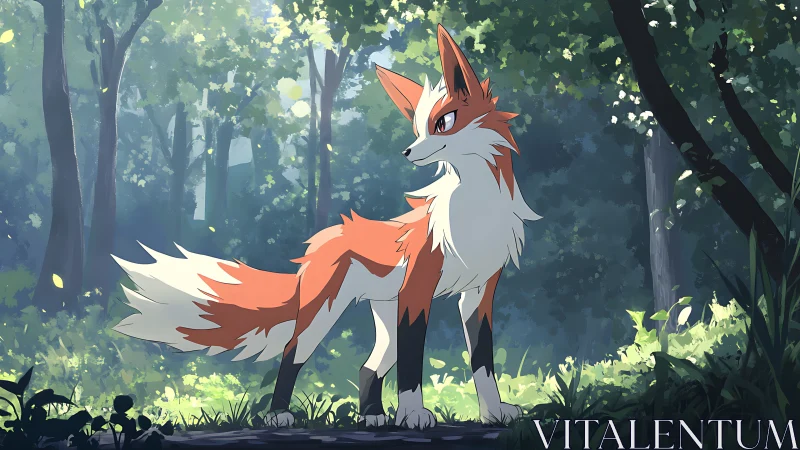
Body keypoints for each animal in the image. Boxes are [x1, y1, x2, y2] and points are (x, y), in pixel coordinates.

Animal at [111, 24, 541, 430]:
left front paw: (494, 413)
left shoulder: (478, 295)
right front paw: (413, 415)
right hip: (324, 316)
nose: (407, 152)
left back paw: (372, 417)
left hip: (386, 315)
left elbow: (482, 362)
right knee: (291, 355)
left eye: (444, 122)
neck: (476, 212)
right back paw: (280, 416)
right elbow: (412, 369)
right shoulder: (418, 292)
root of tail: (318, 244)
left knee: (368, 368)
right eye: (418, 129)